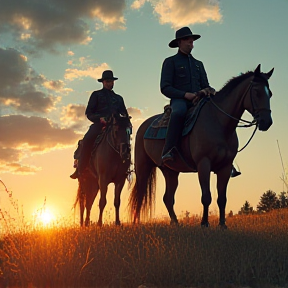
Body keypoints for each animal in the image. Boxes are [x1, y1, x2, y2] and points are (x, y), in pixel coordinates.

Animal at [129, 64, 274, 227]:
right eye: (256, 92)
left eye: (270, 94)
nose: (267, 122)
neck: (219, 122)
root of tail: (143, 126)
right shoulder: (203, 164)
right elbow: (206, 196)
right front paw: (204, 223)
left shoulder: (225, 167)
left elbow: (222, 199)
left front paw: (222, 225)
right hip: (143, 168)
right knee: (140, 194)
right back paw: (136, 223)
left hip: (170, 171)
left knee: (168, 198)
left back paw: (176, 223)